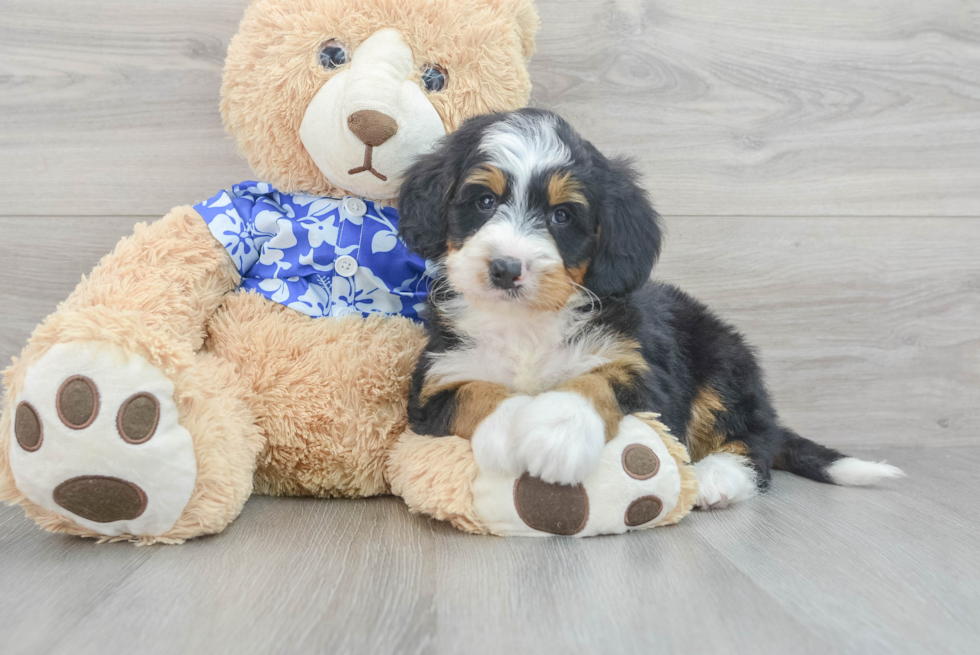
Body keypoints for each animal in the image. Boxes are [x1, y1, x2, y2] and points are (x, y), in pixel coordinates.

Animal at [396, 107, 904, 510]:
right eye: (484, 200)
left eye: (562, 215)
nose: (505, 268)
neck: (528, 325)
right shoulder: (437, 379)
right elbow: (474, 393)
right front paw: (506, 429)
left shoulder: (644, 372)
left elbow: (596, 381)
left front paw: (559, 433)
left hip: (723, 360)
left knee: (752, 443)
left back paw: (717, 477)